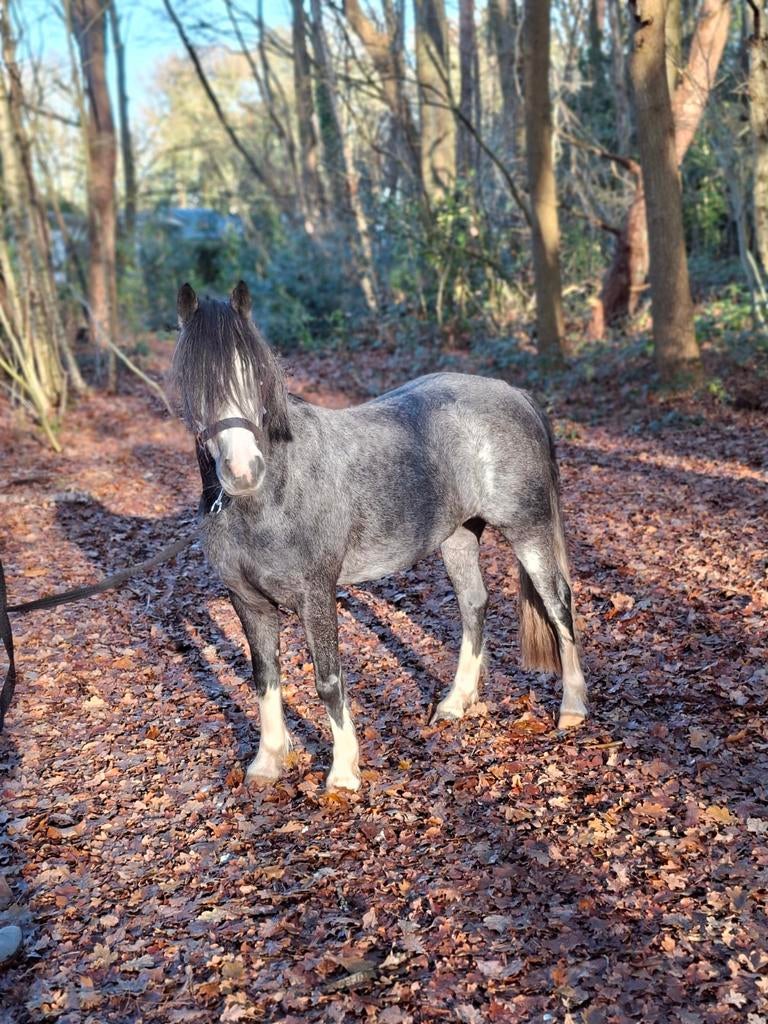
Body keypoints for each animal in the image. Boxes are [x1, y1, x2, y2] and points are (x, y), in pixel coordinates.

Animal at [170, 281, 588, 791]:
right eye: (197, 386)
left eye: (256, 378)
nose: (243, 471)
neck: (270, 497)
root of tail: (515, 394)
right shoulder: (248, 602)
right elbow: (264, 677)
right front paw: (267, 762)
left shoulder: (315, 595)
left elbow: (328, 680)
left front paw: (343, 772)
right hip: (458, 537)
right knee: (474, 605)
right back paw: (455, 702)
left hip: (528, 530)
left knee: (558, 606)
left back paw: (572, 708)